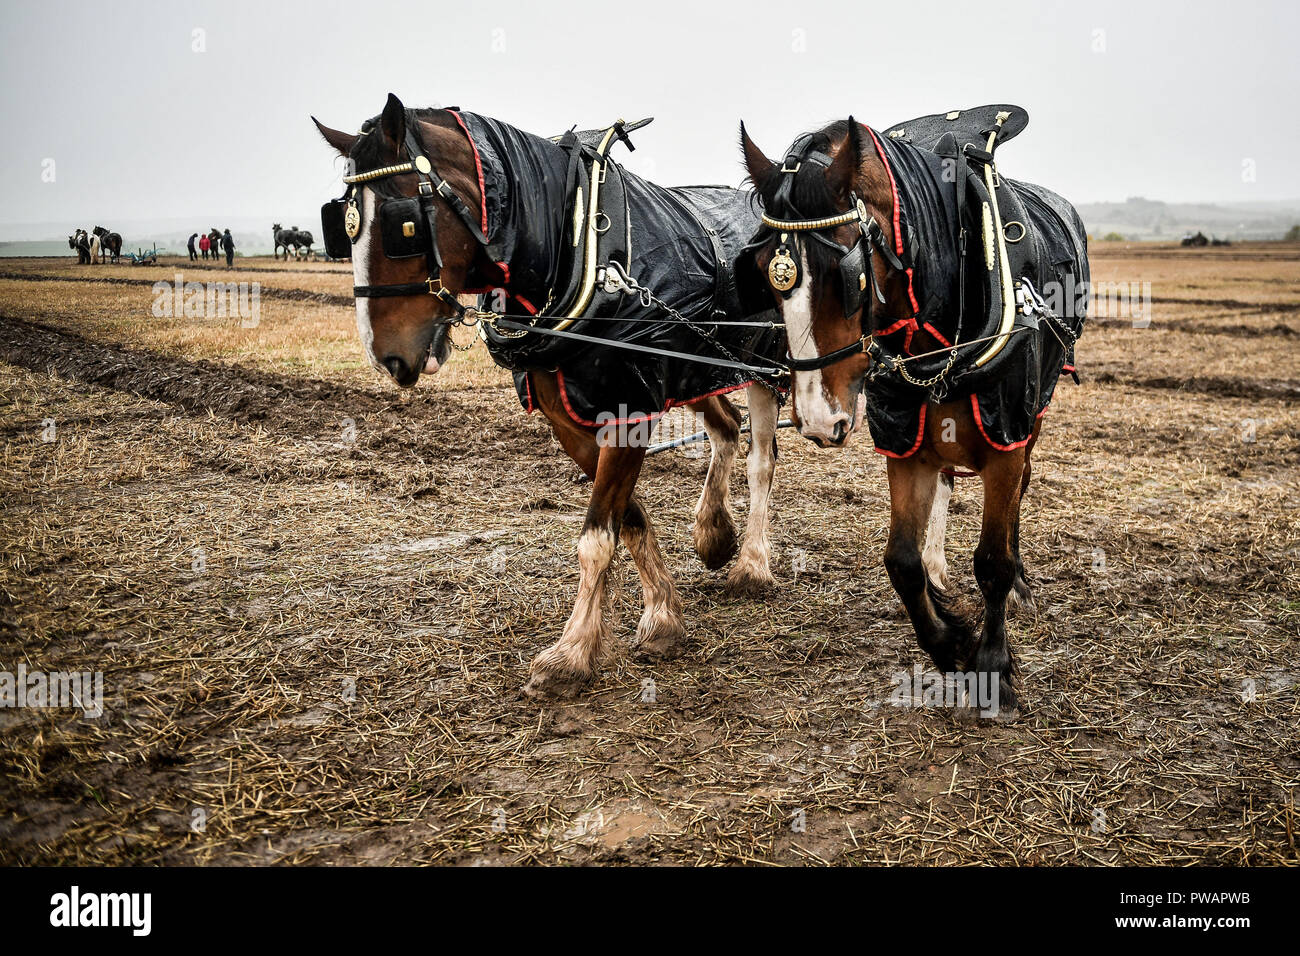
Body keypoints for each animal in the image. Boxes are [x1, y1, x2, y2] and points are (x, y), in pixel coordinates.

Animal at [314, 94, 786, 698]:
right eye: (340, 225)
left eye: (404, 226)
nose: (385, 356)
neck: (580, 249)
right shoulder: (569, 418)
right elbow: (628, 518)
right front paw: (663, 615)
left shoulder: (627, 406)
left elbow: (597, 536)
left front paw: (572, 652)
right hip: (695, 368)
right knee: (726, 427)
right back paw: (713, 532)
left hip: (764, 368)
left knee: (761, 459)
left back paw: (751, 563)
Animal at [737, 110, 1089, 713]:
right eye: (763, 270)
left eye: (849, 272)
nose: (816, 418)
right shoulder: (906, 442)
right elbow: (901, 561)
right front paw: (950, 642)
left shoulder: (1006, 435)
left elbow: (991, 561)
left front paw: (994, 667)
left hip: (1033, 417)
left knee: (1020, 494)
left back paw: (1021, 581)